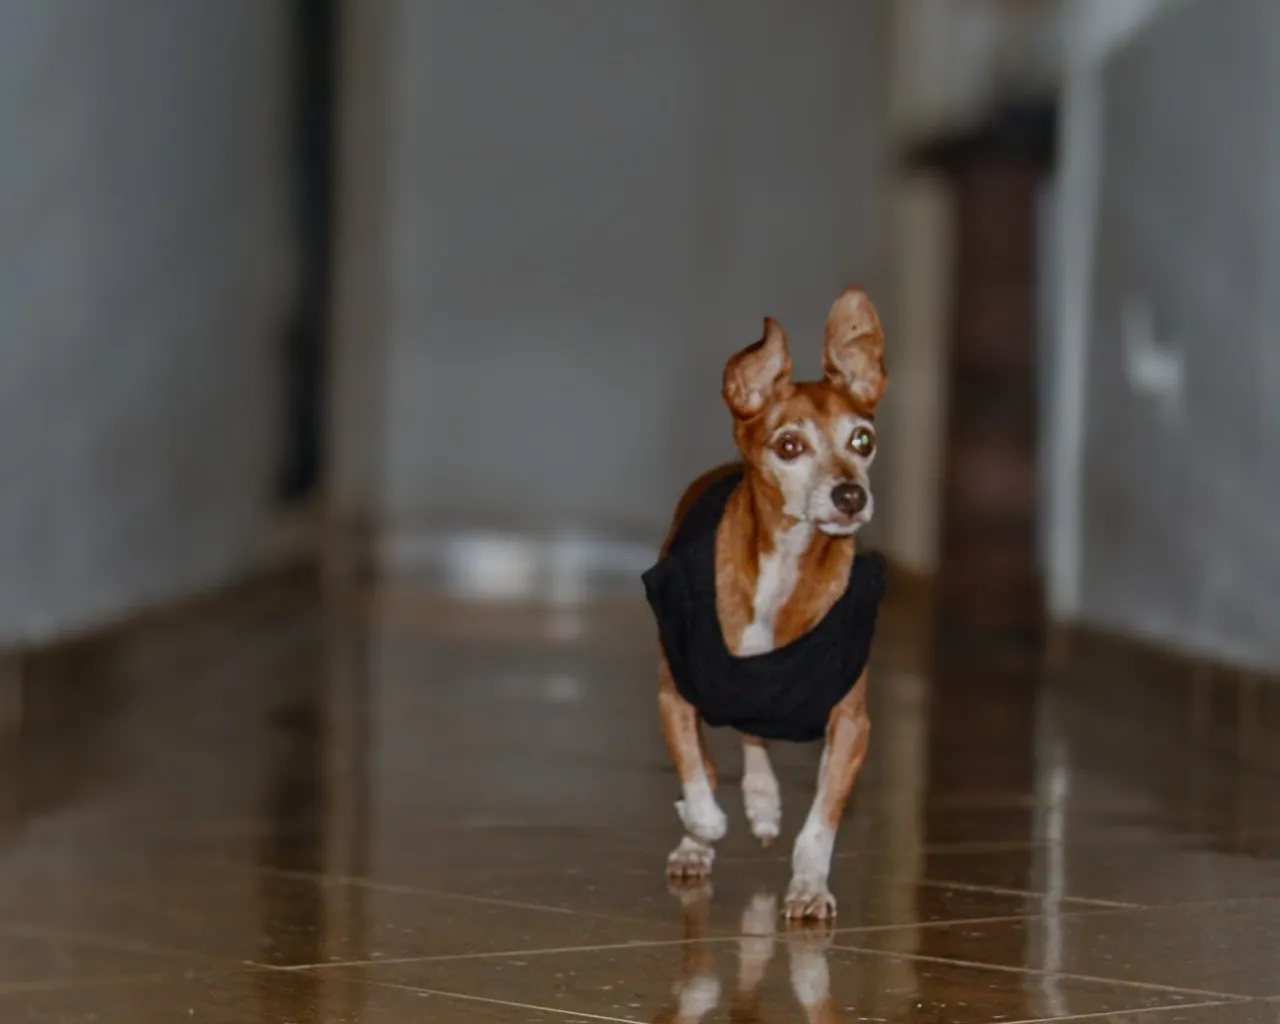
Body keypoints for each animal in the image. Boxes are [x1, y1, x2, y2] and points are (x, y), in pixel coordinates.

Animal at [640, 285, 890, 921]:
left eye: (863, 440)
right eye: (789, 445)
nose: (850, 495)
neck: (783, 570)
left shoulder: (851, 725)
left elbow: (821, 821)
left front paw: (809, 884)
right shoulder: (675, 697)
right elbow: (701, 785)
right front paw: (699, 827)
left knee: (753, 735)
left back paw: (762, 799)